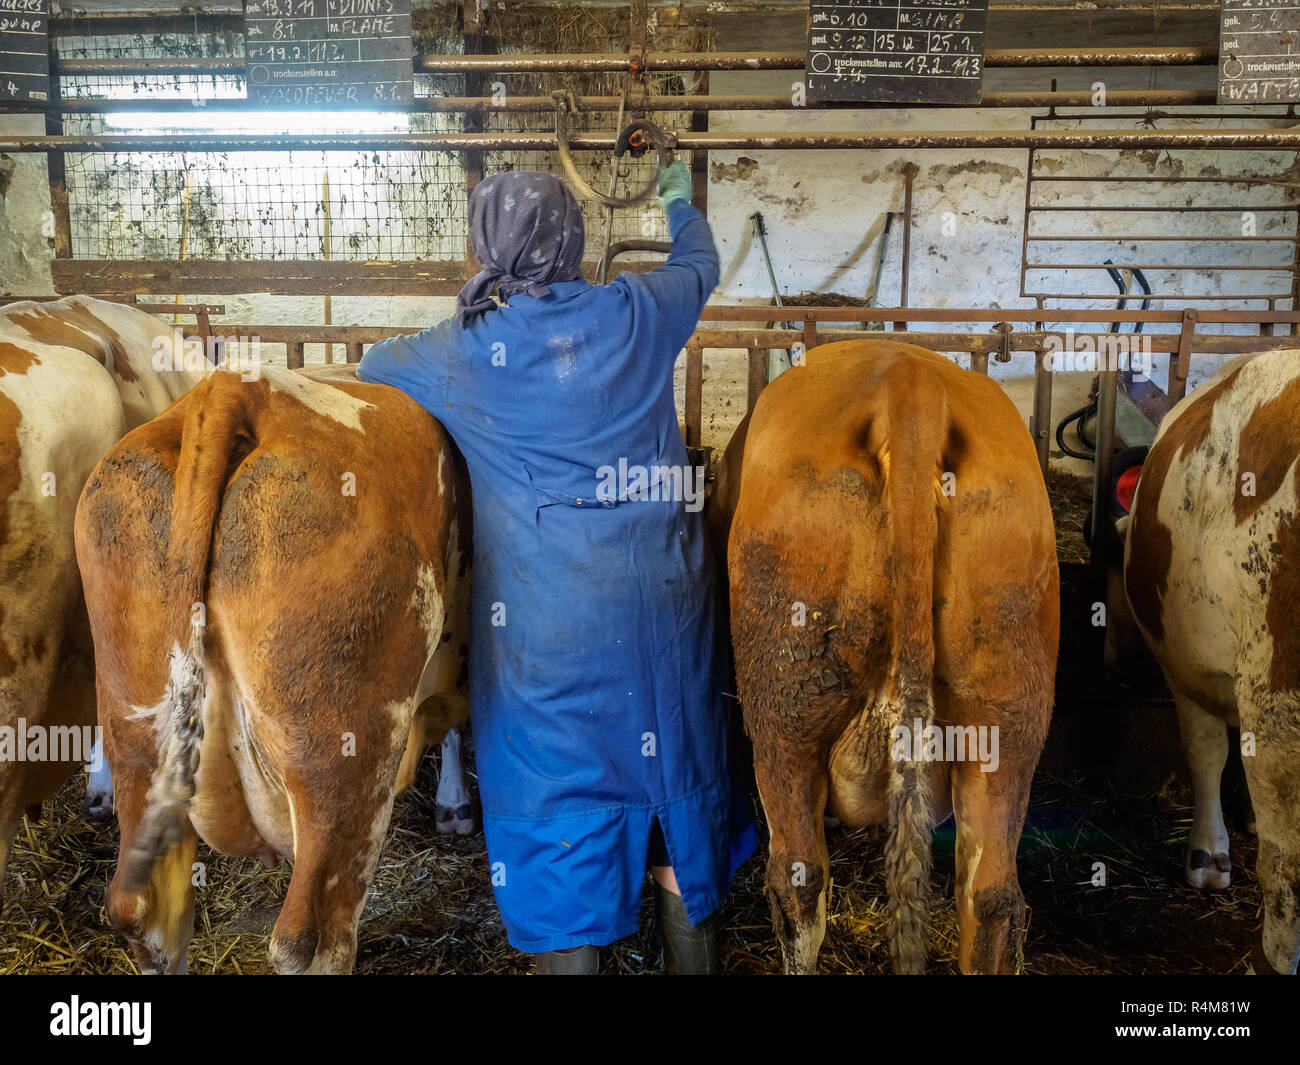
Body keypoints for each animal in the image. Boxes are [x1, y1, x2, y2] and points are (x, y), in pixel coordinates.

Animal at [74, 361, 473, 972]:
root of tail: (237, 390)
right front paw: (456, 805)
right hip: (346, 762)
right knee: (310, 939)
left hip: (136, 733)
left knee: (144, 914)